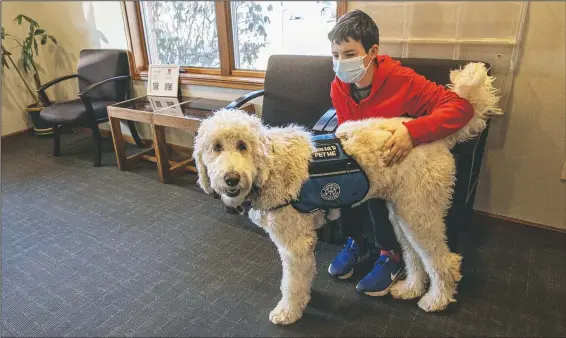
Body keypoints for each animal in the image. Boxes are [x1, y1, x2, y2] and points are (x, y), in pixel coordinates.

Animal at [194, 62, 502, 326]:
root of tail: (436, 137)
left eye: (242, 145)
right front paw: (303, 300)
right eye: (216, 147)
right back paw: (411, 289)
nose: (231, 179)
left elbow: (291, 282)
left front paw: (288, 312)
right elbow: (302, 277)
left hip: (420, 212)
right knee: (414, 255)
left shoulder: (294, 243)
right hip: (403, 211)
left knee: (444, 260)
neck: (270, 165)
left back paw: (437, 300)